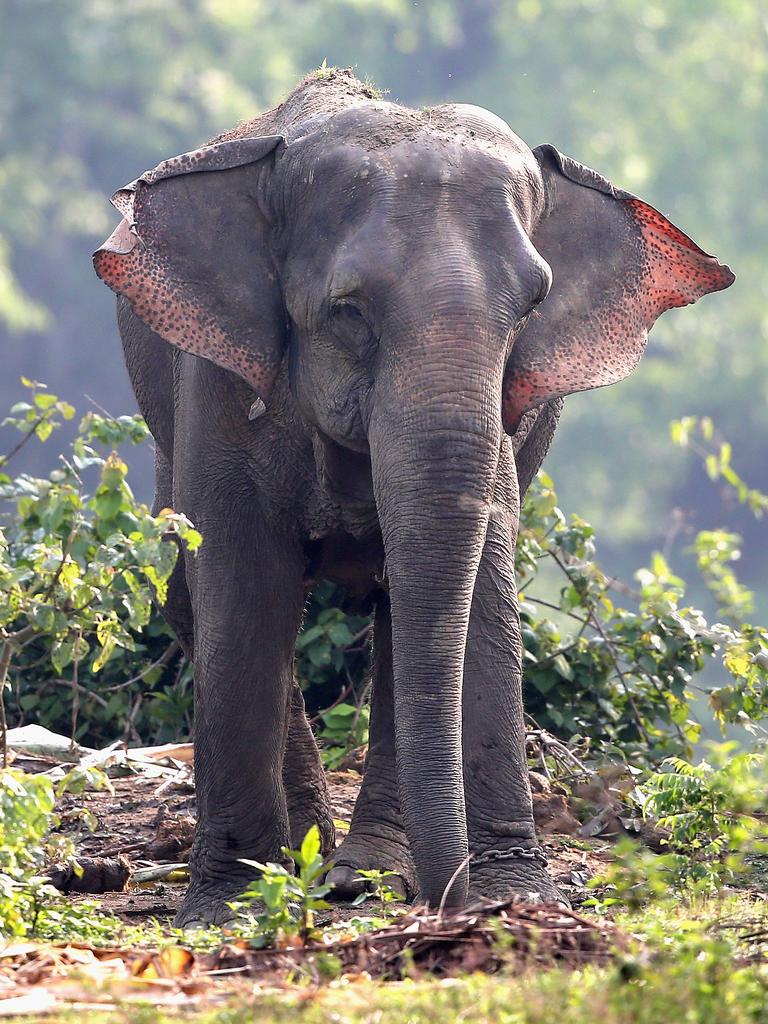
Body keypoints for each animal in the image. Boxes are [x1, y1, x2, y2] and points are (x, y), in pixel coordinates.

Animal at [93, 68, 737, 925]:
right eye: (348, 310)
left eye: (531, 308)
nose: (451, 901)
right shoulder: (221, 385)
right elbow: (242, 583)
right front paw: (228, 908)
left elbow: (483, 584)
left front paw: (516, 895)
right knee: (188, 596)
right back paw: (310, 858)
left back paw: (359, 872)